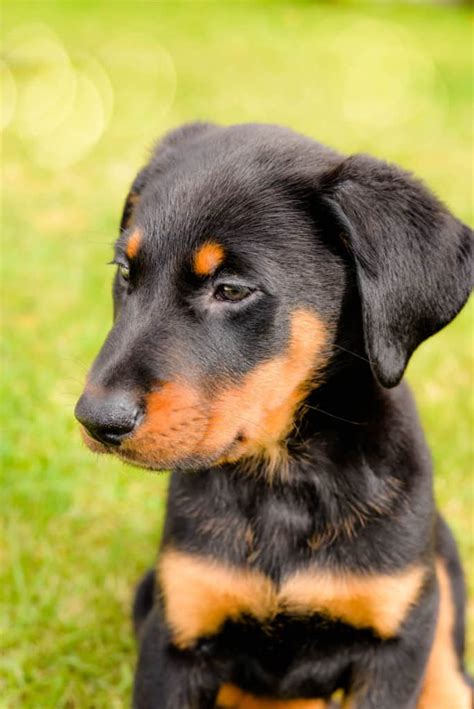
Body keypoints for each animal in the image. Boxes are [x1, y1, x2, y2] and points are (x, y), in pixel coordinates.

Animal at [74, 124, 470, 704]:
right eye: (126, 272)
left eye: (232, 289)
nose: (96, 420)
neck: (283, 477)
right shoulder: (178, 626)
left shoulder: (393, 638)